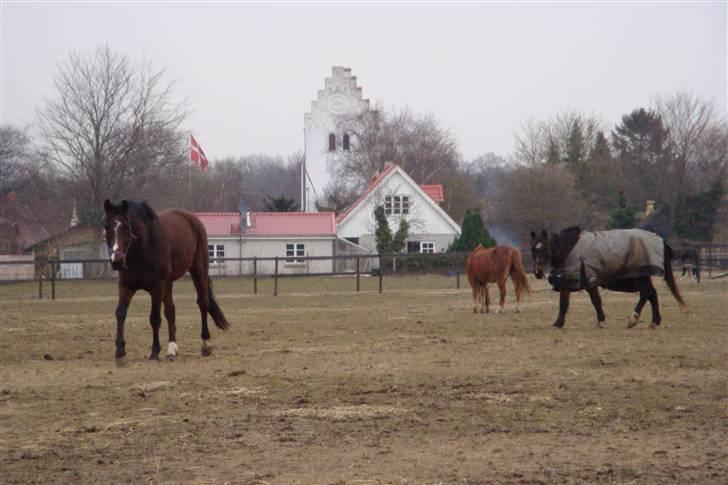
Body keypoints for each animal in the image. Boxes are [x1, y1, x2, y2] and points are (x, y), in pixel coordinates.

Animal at [528, 227, 684, 328]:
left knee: (646, 293)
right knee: (652, 294)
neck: (570, 250)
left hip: (640, 276)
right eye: (533, 249)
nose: (538, 272)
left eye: (545, 248)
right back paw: (655, 321)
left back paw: (633, 319)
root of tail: (660, 240)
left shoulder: (589, 281)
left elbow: (594, 301)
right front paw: (558, 323)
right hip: (641, 276)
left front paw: (601, 320)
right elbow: (565, 303)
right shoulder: (569, 282)